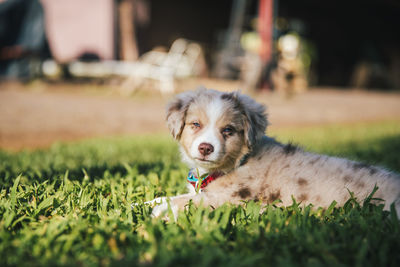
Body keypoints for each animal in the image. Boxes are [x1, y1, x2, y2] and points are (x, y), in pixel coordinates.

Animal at [148, 87, 400, 219]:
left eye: (228, 130)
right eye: (195, 124)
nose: (205, 148)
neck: (239, 162)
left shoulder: (233, 199)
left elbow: (191, 200)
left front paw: (162, 210)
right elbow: (170, 196)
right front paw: (146, 203)